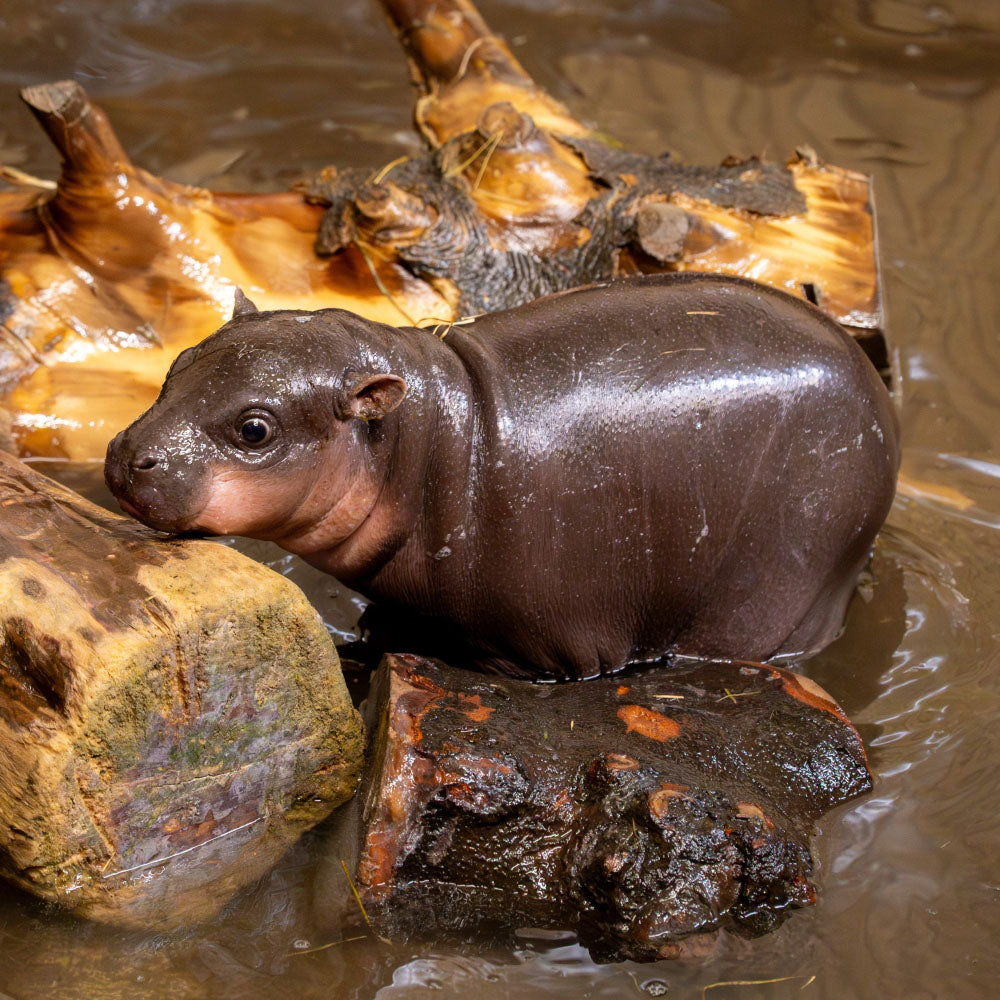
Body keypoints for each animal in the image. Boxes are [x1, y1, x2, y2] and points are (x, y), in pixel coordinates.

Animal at [105, 274, 899, 680]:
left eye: (255, 429)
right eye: (179, 363)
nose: (124, 454)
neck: (428, 443)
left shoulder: (551, 643)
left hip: (777, 584)